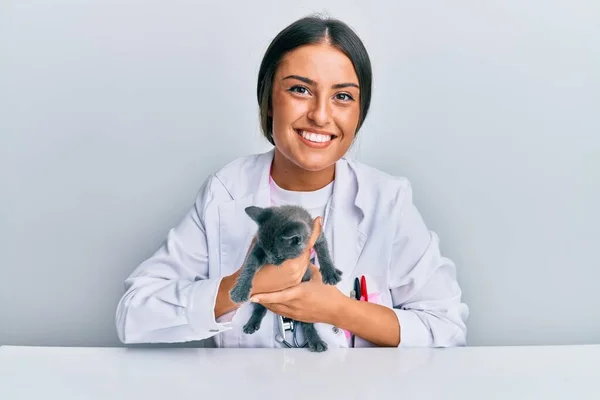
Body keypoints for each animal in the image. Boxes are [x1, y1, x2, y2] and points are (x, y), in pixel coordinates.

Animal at [230, 205, 342, 352]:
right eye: (265, 251)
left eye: (278, 256)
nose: (269, 261)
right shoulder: (257, 247)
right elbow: (249, 264)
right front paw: (240, 289)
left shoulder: (317, 235)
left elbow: (324, 251)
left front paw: (329, 271)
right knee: (260, 308)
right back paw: (252, 323)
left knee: (307, 323)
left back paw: (315, 340)